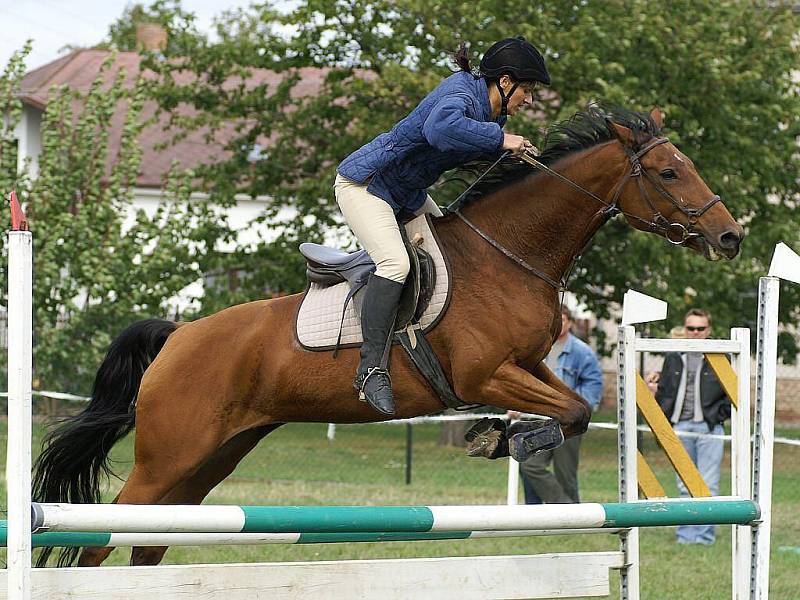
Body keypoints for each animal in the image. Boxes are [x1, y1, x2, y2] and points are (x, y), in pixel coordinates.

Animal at [31, 104, 744, 568]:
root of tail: (178, 336)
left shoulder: (526, 366)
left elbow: (573, 407)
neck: (510, 254)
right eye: (670, 173)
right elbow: (566, 410)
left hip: (209, 459)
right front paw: (501, 437)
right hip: (167, 458)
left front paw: (498, 435)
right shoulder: (483, 373)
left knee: (147, 540)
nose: (731, 237)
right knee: (100, 537)